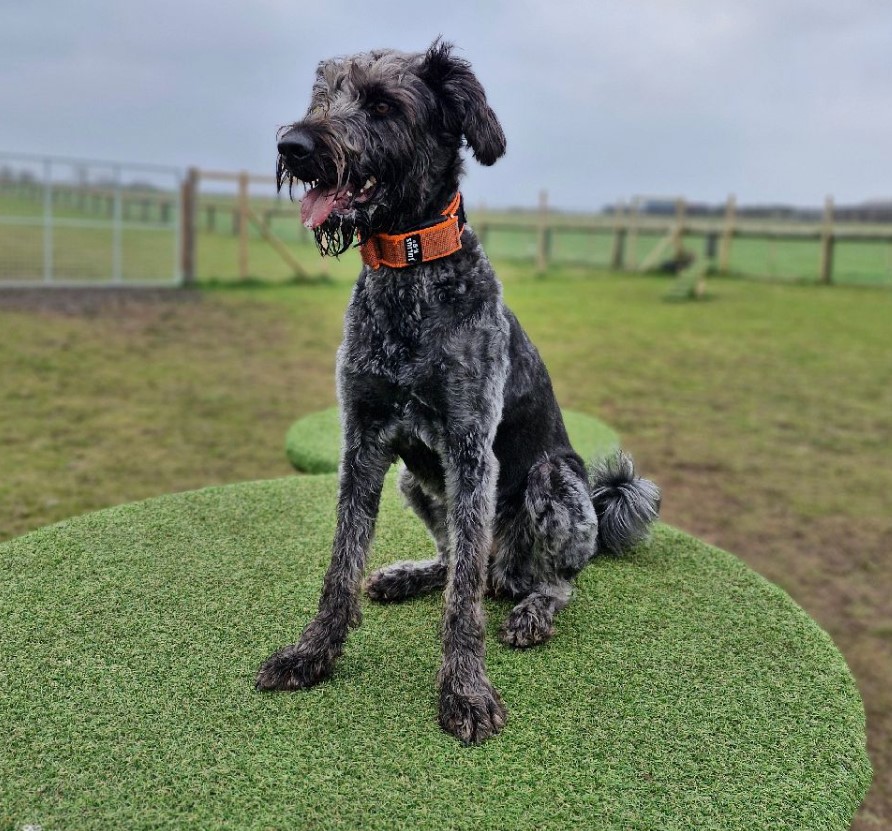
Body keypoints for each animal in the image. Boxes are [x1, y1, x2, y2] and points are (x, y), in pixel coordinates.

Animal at [254, 39, 660, 744]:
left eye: (382, 105)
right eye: (323, 96)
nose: (293, 146)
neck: (408, 271)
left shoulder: (473, 452)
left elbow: (463, 603)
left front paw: (466, 692)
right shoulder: (363, 443)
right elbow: (341, 566)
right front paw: (312, 653)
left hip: (554, 481)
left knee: (547, 578)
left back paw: (531, 610)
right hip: (414, 480)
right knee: (455, 559)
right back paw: (408, 576)